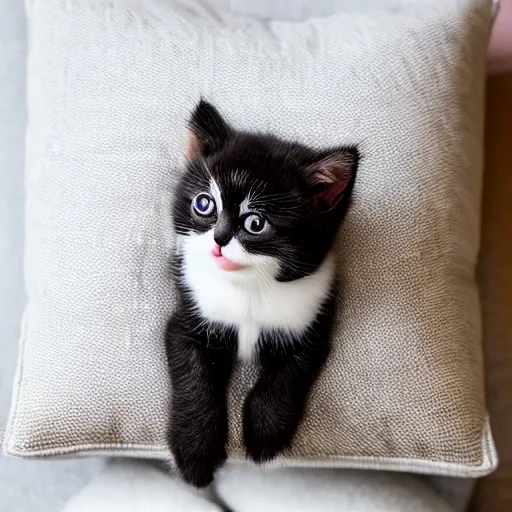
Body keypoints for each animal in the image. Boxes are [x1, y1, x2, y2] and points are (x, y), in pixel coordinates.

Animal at [166, 101, 358, 488]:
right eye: (204, 204)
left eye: (255, 223)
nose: (219, 239)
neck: (249, 286)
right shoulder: (188, 315)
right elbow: (194, 373)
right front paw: (194, 452)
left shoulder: (312, 316)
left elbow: (287, 377)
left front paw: (265, 437)